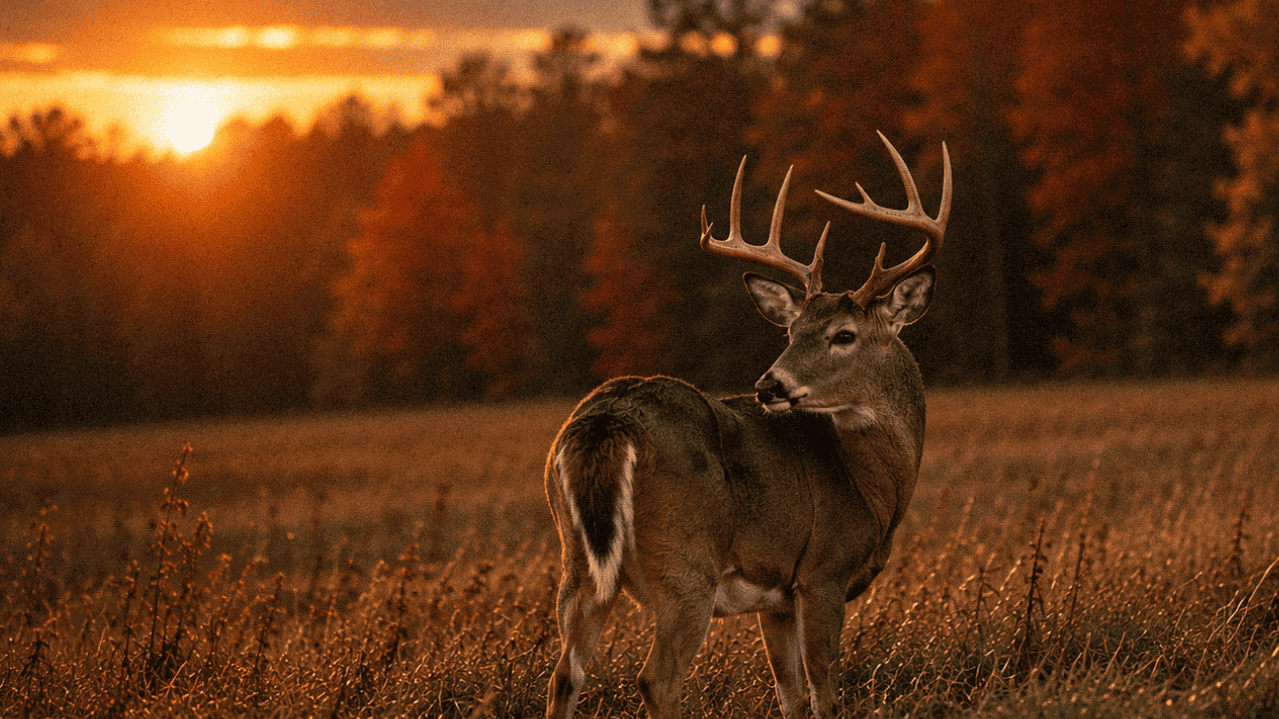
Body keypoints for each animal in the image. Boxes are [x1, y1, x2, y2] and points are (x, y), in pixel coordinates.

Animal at [544, 132, 951, 719]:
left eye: (842, 335)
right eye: (791, 331)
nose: (769, 385)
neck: (871, 485)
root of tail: (609, 418)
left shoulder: (775, 597)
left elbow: (792, 695)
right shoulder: (822, 573)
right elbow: (825, 693)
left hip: (578, 564)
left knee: (563, 675)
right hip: (686, 566)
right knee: (656, 679)